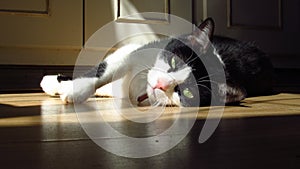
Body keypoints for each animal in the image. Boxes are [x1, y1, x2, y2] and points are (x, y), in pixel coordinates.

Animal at [40, 18, 274, 107]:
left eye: (187, 92)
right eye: (174, 61)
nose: (161, 84)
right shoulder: (132, 52)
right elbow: (101, 72)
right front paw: (69, 87)